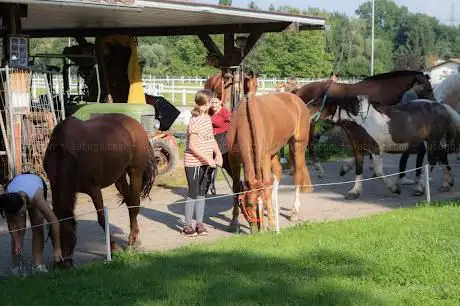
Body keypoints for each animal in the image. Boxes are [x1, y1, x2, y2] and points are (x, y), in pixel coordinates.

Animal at [43, 113, 158, 266]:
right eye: (51, 237)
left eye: (69, 234)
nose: (63, 266)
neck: (66, 155)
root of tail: (135, 123)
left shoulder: (94, 190)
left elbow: (102, 218)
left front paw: (113, 248)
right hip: (119, 177)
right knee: (129, 201)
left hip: (135, 171)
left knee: (134, 202)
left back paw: (132, 240)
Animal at [226, 92, 312, 233]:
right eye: (249, 204)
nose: (259, 230)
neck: (244, 121)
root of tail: (296, 98)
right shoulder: (233, 158)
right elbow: (236, 188)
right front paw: (234, 222)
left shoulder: (264, 158)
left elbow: (266, 186)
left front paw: (271, 223)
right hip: (275, 151)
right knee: (278, 171)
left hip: (298, 144)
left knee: (297, 175)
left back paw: (294, 212)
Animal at [294, 70, 434, 179]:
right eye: (428, 88)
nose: (433, 102)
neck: (381, 91)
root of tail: (298, 91)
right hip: (310, 123)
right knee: (310, 143)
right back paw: (318, 170)